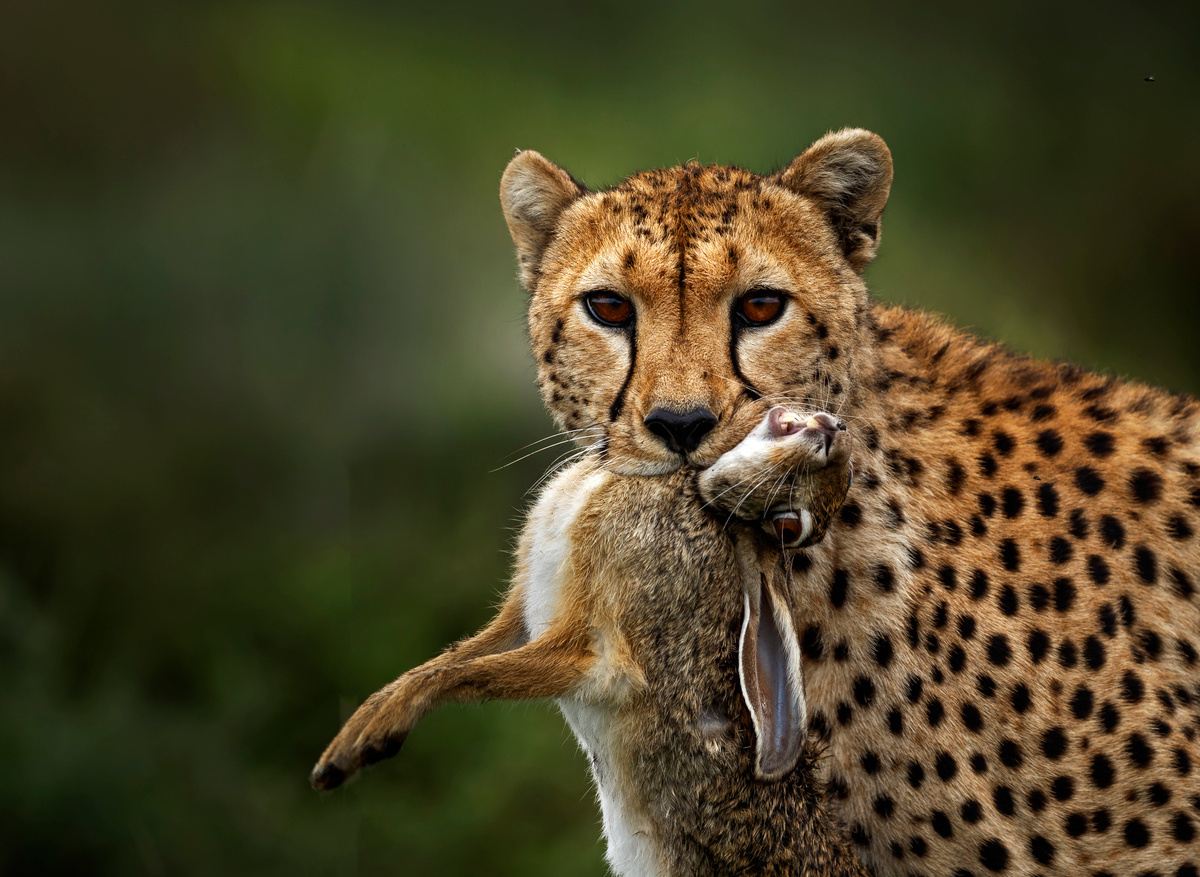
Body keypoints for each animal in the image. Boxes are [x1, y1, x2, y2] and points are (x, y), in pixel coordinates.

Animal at [311, 407, 865, 876]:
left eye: (787, 526)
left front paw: (363, 746)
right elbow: (449, 662)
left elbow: (467, 674)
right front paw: (351, 740)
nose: (833, 431)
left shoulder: (590, 651)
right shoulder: (519, 621)